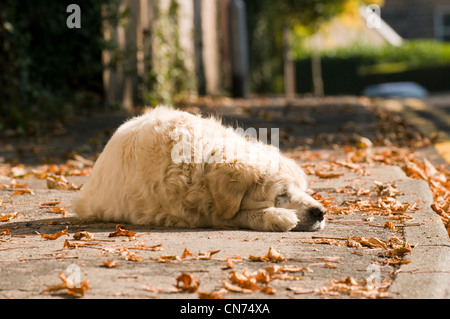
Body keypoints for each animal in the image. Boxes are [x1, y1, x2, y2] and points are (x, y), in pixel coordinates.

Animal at [75, 106, 326, 231]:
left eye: (304, 190)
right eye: (282, 194)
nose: (320, 213)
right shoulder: (187, 213)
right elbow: (235, 215)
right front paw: (276, 216)